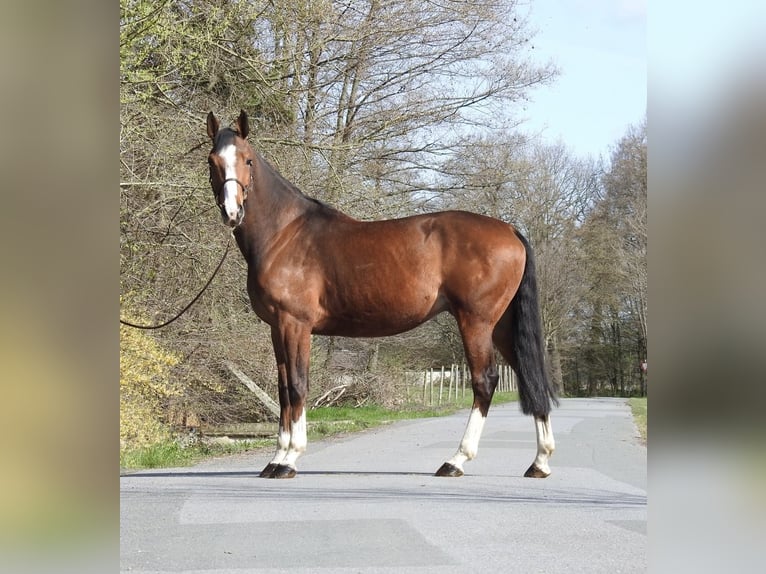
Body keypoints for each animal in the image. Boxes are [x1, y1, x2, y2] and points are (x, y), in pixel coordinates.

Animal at [206, 110, 558, 479]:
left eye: (247, 159)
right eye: (212, 160)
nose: (232, 212)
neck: (284, 233)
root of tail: (510, 230)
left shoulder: (295, 324)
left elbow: (297, 385)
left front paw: (288, 459)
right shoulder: (277, 328)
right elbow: (283, 387)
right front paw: (276, 458)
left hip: (476, 322)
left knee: (485, 381)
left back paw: (456, 460)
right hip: (501, 325)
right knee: (530, 376)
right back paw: (539, 462)